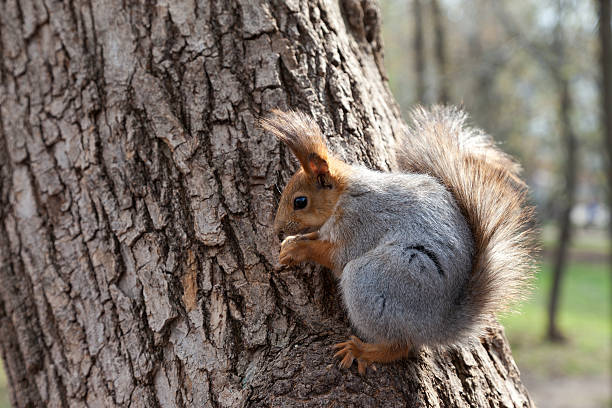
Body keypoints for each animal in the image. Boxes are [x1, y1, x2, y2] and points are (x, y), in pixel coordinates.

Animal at [260, 107, 536, 374]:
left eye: (300, 201)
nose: (277, 230)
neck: (344, 194)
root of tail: (435, 324)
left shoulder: (361, 222)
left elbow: (335, 254)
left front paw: (299, 248)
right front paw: (290, 243)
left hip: (373, 281)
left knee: (400, 346)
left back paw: (363, 351)